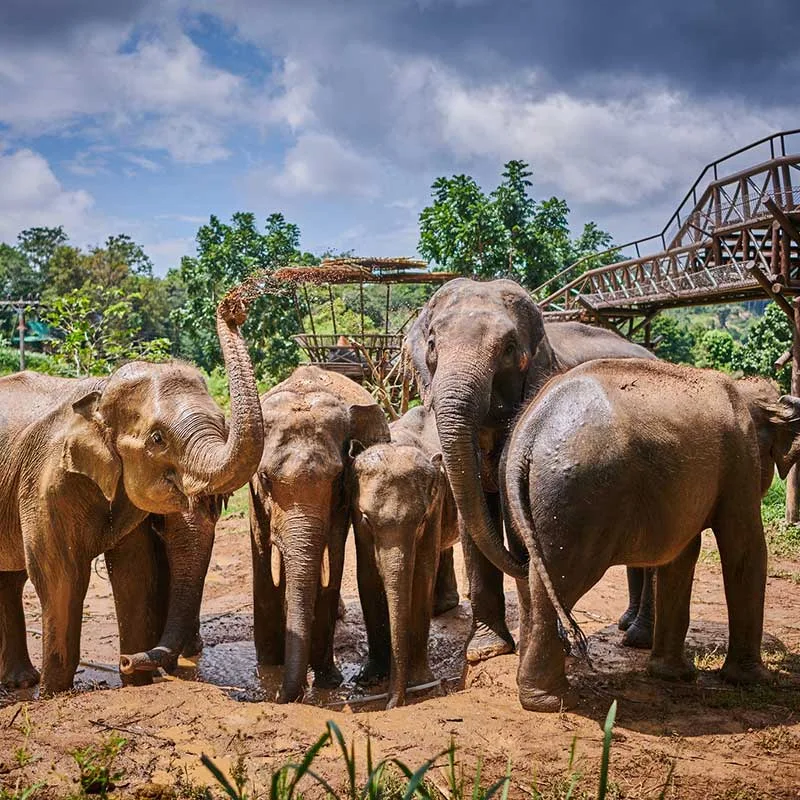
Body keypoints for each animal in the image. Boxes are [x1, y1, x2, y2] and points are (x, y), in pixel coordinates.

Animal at [0, 300, 264, 695]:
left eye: (223, 423)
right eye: (157, 439)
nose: (232, 308)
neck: (98, 395)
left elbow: (135, 572)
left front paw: (137, 683)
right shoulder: (45, 482)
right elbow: (60, 574)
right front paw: (53, 692)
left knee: (11, 578)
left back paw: (20, 681)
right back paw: (28, 685)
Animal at [249, 365, 390, 703]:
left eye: (337, 477)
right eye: (265, 478)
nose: (279, 697)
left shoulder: (341, 501)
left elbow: (333, 555)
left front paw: (328, 682)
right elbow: (262, 551)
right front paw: (268, 668)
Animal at [351, 405, 459, 708]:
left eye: (420, 520)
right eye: (367, 519)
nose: (392, 704)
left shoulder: (436, 501)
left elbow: (422, 573)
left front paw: (421, 683)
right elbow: (367, 574)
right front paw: (368, 677)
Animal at [403, 277, 655, 663]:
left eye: (508, 349)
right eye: (432, 345)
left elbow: (511, 513)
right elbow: (474, 514)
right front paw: (486, 650)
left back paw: (639, 637)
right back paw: (628, 624)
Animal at [502, 361, 791, 712]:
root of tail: (531, 431)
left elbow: (682, 556)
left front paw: (674, 675)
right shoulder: (740, 455)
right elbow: (744, 548)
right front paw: (756, 681)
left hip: (527, 498)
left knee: (530, 580)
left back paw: (533, 688)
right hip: (578, 496)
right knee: (561, 580)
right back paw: (553, 701)